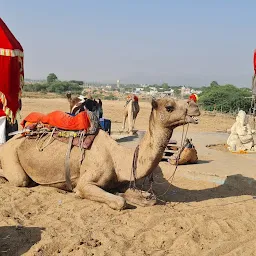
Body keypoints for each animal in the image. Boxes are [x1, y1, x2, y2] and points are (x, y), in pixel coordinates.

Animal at [0, 98, 200, 210]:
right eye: (169, 107)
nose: (195, 107)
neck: (119, 158)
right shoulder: (85, 183)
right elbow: (119, 202)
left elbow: (149, 198)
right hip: (11, 155)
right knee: (19, 179)